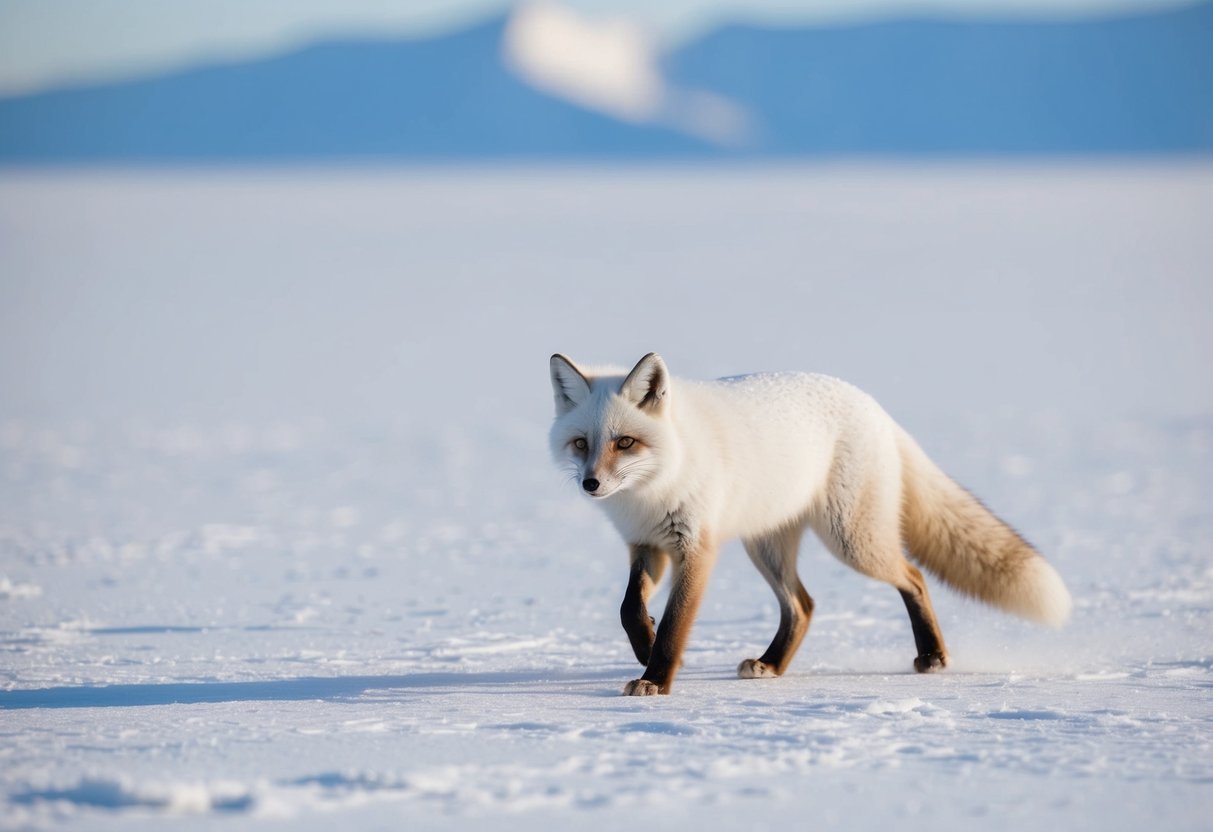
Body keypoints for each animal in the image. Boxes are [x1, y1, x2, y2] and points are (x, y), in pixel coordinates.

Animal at [548, 352, 1071, 696]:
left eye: (625, 442)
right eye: (582, 443)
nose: (591, 484)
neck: (654, 487)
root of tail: (870, 403)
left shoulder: (696, 547)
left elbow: (677, 623)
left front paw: (655, 678)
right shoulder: (648, 545)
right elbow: (628, 609)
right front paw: (644, 646)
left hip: (851, 542)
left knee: (914, 577)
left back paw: (933, 658)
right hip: (767, 548)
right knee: (803, 606)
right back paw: (771, 664)